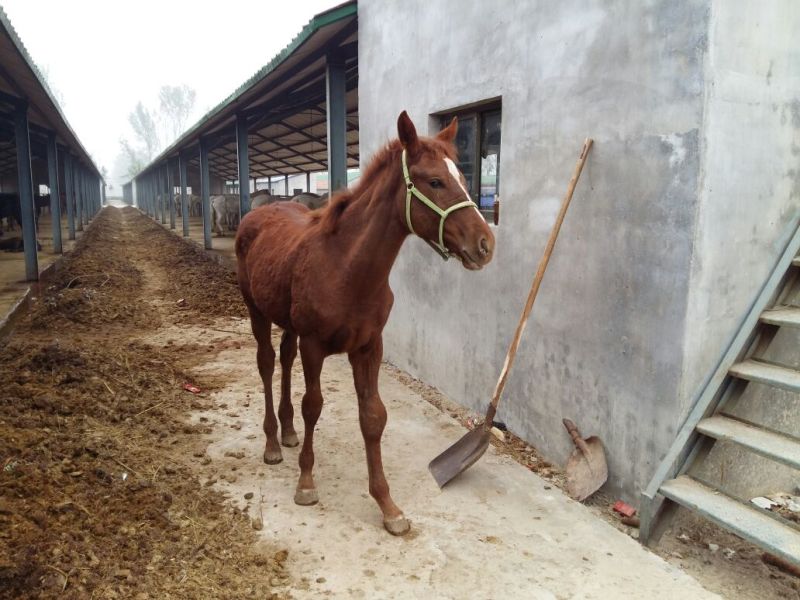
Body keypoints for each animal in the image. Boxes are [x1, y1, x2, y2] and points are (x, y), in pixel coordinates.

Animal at [235, 111, 495, 535]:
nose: (486, 244)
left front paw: (388, 506)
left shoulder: (369, 347)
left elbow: (373, 417)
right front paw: (306, 484)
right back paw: (272, 443)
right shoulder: (315, 345)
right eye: (434, 181)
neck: (346, 267)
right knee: (267, 363)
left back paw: (287, 433)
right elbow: (313, 406)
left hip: (288, 322)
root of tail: (256, 213)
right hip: (256, 312)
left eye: (461, 176)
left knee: (285, 360)